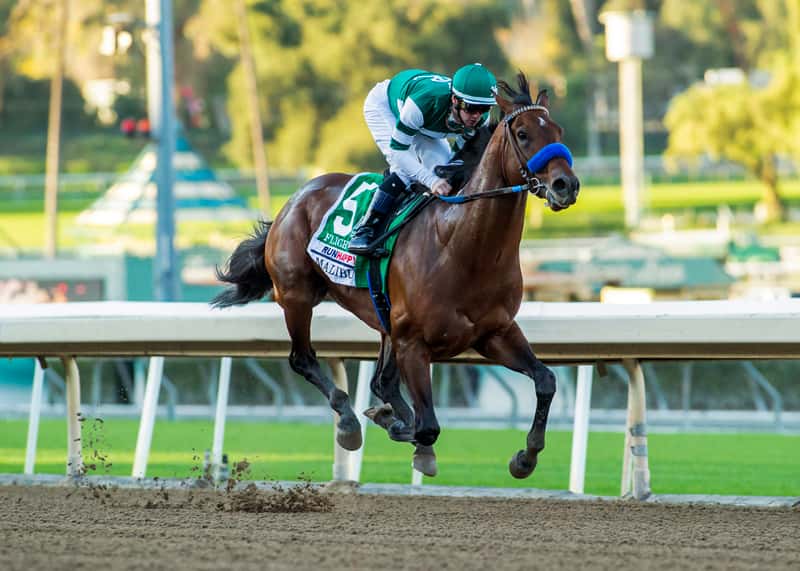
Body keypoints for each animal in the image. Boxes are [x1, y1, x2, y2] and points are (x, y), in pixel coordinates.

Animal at [211, 73, 576, 480]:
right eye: (524, 134)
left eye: (558, 130)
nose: (567, 185)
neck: (462, 247)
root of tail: (292, 201)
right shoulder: (413, 343)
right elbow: (428, 425)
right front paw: (403, 432)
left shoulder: (494, 332)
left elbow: (546, 380)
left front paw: (525, 457)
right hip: (297, 296)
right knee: (303, 359)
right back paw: (349, 423)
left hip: (382, 318)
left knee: (381, 382)